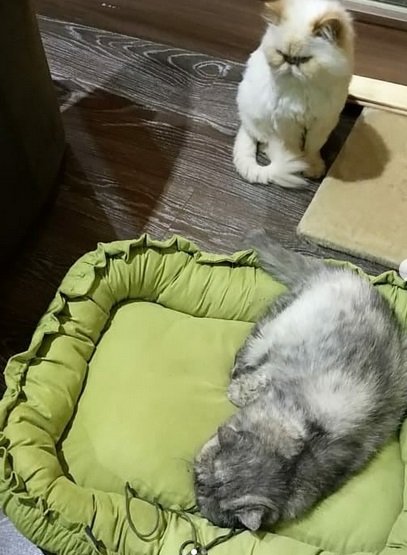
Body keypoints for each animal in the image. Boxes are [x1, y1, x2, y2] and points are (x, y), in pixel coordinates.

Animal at [194, 231, 407, 536]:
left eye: (202, 482)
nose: (197, 488)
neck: (292, 459)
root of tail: (344, 274)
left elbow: (240, 388)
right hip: (275, 328)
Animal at [234, 0, 356, 189]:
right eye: (281, 54)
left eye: (303, 60)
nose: (290, 62)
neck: (303, 90)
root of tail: (244, 122)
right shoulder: (286, 123)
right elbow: (294, 151)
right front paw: (298, 165)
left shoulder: (322, 122)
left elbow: (312, 148)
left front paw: (312, 167)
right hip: (259, 119)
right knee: (266, 143)